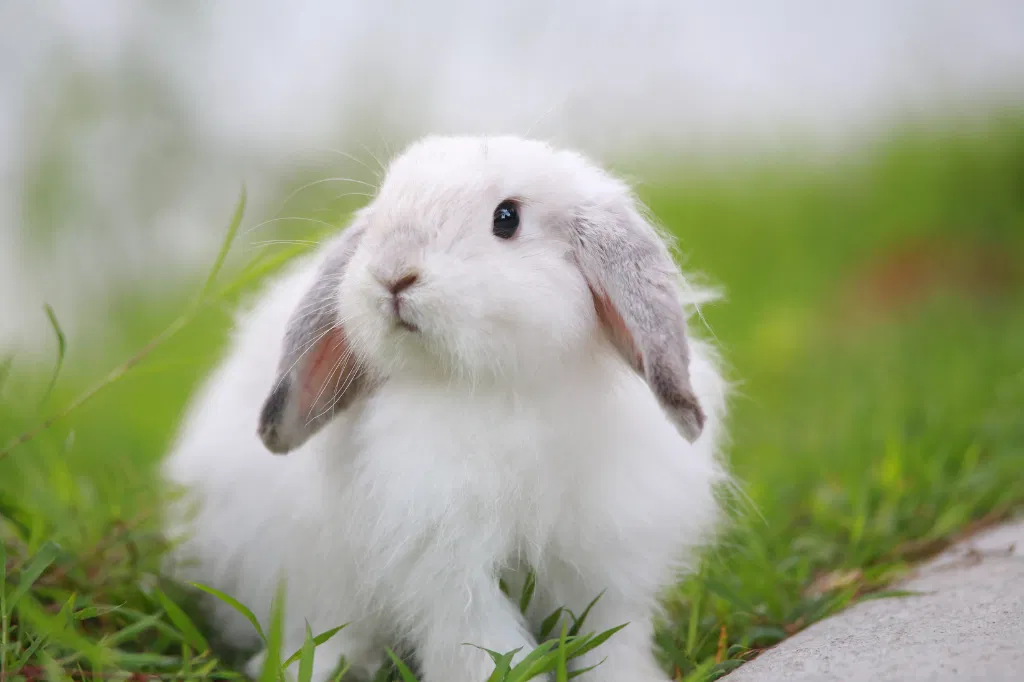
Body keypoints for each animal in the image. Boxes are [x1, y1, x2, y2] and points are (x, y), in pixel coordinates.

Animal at [161, 134, 730, 682]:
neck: (497, 387)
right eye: (382, 207)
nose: (393, 275)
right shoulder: (448, 570)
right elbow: (480, 644)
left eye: (507, 218)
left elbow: (611, 639)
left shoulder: (605, 562)